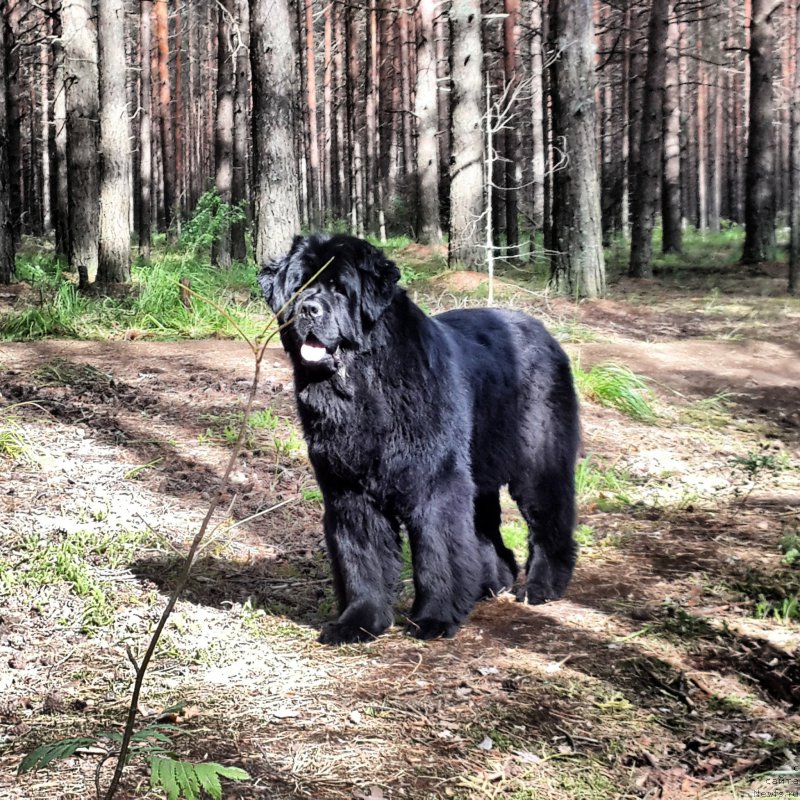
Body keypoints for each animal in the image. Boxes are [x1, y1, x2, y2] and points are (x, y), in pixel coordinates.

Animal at [260, 234, 580, 648]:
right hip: (479, 472)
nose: (308, 309)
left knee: (548, 522)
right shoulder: (348, 491)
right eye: (299, 286)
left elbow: (437, 553)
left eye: (339, 288)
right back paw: (489, 585)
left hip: (539, 460)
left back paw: (541, 587)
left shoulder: (434, 482)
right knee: (486, 531)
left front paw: (434, 619)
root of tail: (543, 331)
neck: (364, 386)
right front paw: (358, 621)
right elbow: (361, 557)